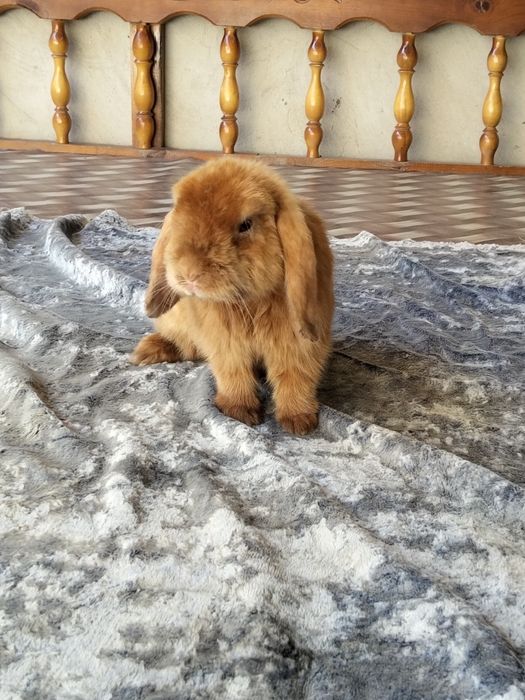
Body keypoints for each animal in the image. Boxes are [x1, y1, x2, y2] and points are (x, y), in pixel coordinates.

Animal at [130, 157, 334, 435]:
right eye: (179, 214)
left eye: (246, 224)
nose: (189, 274)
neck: (248, 303)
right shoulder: (224, 344)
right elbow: (233, 372)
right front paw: (239, 412)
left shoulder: (297, 344)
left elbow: (295, 376)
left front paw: (299, 422)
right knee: (184, 344)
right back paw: (149, 351)